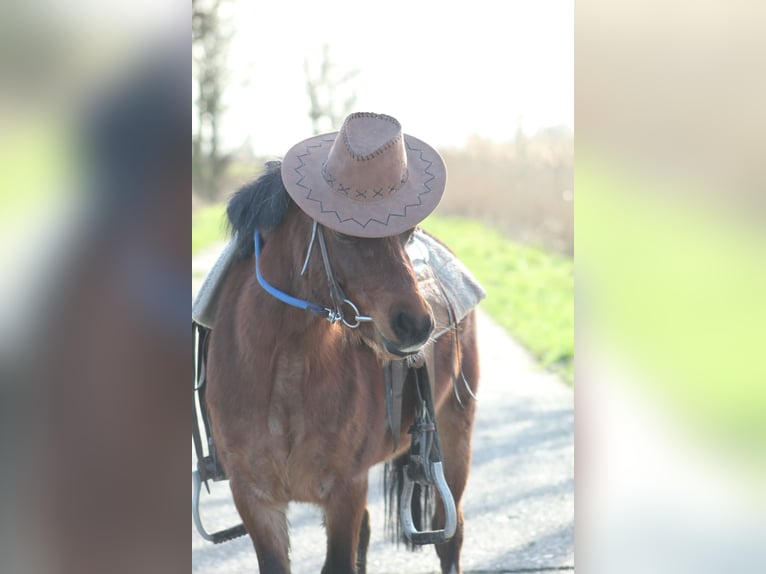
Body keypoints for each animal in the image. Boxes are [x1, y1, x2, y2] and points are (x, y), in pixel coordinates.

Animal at [205, 161, 480, 574]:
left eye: (406, 232)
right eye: (343, 234)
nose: (417, 325)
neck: (281, 379)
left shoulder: (344, 491)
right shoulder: (255, 499)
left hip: (454, 435)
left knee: (451, 536)